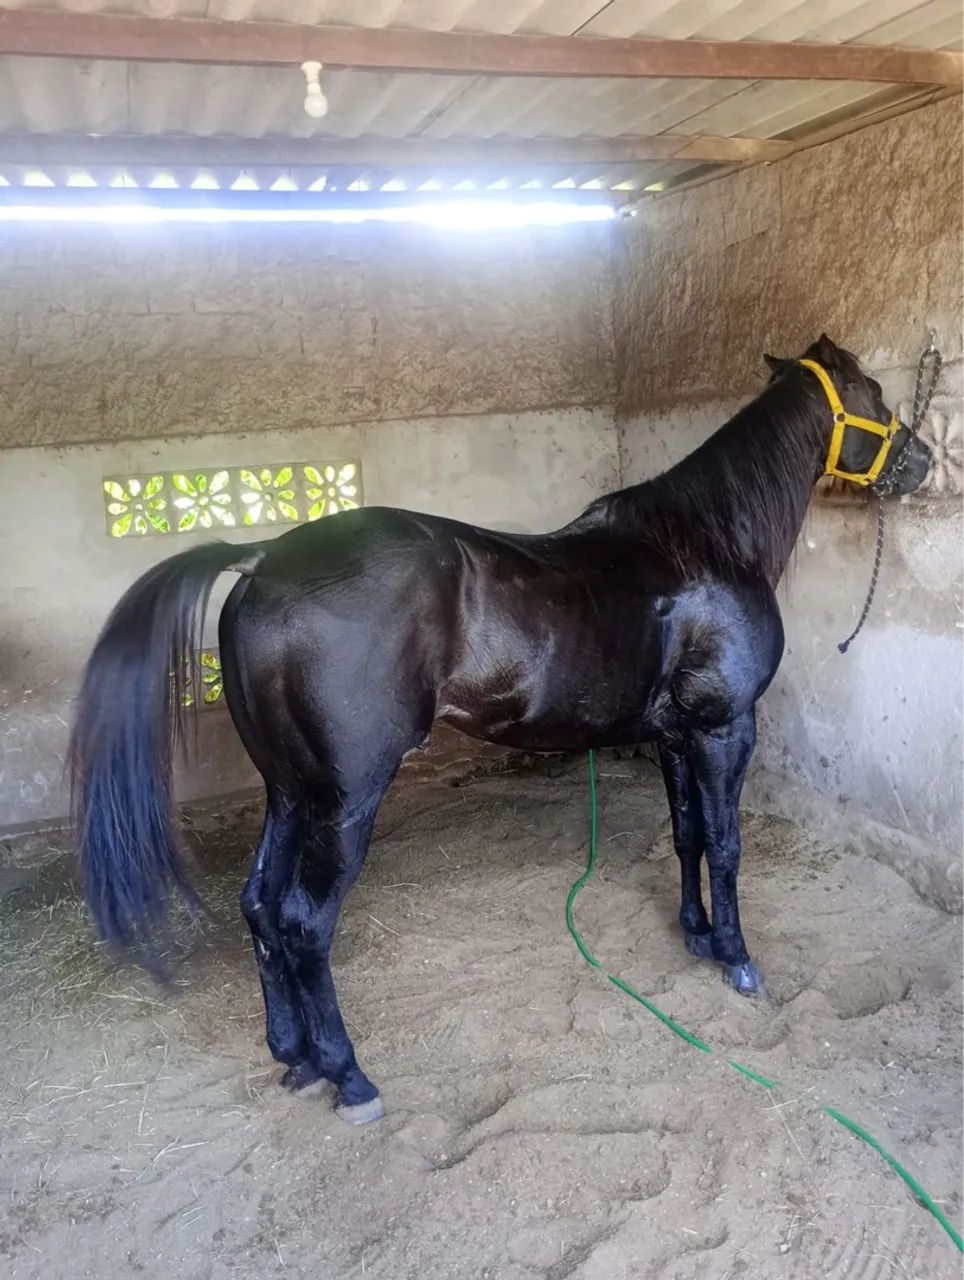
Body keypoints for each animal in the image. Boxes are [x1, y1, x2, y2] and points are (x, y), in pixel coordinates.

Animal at [69, 334, 932, 1124]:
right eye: (874, 391)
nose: (922, 461)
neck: (706, 543)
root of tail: (261, 562)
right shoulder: (726, 728)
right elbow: (724, 845)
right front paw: (738, 960)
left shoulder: (675, 735)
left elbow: (686, 835)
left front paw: (695, 935)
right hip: (344, 800)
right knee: (303, 924)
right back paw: (351, 1078)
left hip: (288, 791)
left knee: (258, 906)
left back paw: (297, 1057)